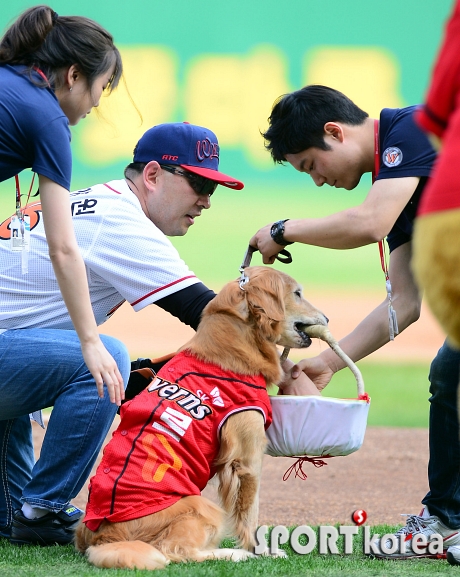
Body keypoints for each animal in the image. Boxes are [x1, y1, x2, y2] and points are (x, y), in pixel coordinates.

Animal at [74, 266, 328, 568]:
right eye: (297, 293)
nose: (327, 318)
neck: (238, 341)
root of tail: (104, 537)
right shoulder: (248, 459)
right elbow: (250, 513)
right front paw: (260, 550)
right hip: (201, 506)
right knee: (176, 552)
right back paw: (232, 554)